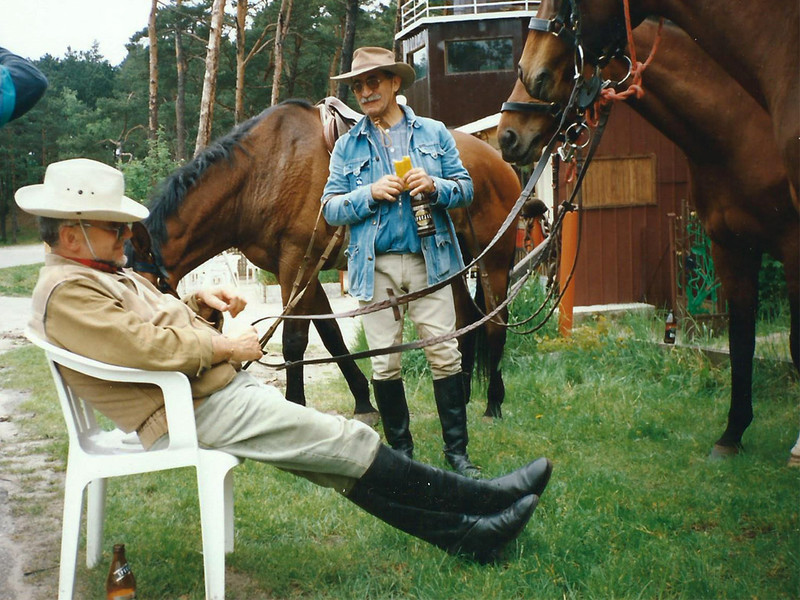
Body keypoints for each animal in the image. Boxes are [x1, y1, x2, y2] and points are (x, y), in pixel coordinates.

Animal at [128, 99, 520, 418]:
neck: (264, 172)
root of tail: (498, 162)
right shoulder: (303, 269)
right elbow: (331, 335)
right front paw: (364, 401)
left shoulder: (296, 264)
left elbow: (294, 341)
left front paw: (296, 404)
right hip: (450, 260)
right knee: (465, 320)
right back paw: (463, 394)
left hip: (495, 260)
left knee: (495, 323)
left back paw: (493, 404)